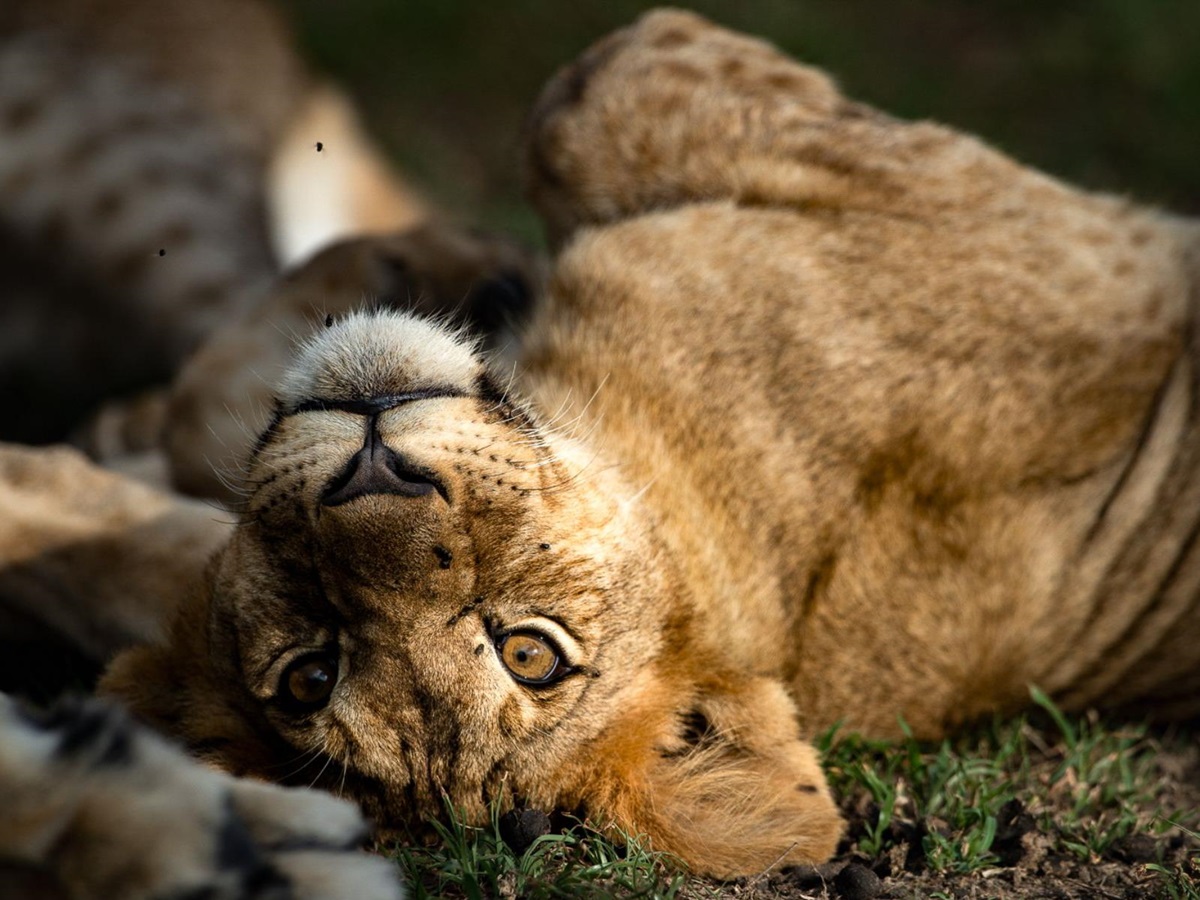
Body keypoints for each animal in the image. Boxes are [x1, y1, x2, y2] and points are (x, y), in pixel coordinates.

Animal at [65, 6, 1200, 881]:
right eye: (311, 672)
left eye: (528, 653)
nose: (373, 467)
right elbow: (596, 93)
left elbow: (589, 96)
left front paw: (433, 258)